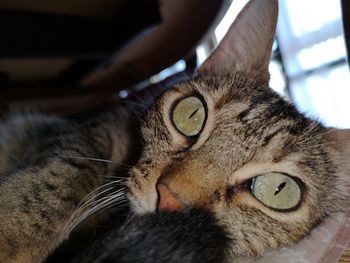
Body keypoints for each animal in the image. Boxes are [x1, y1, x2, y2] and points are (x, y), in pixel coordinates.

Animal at [0, 0, 350, 262]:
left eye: (279, 190)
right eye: (191, 114)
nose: (169, 199)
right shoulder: (83, 128)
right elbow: (69, 169)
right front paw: (14, 232)